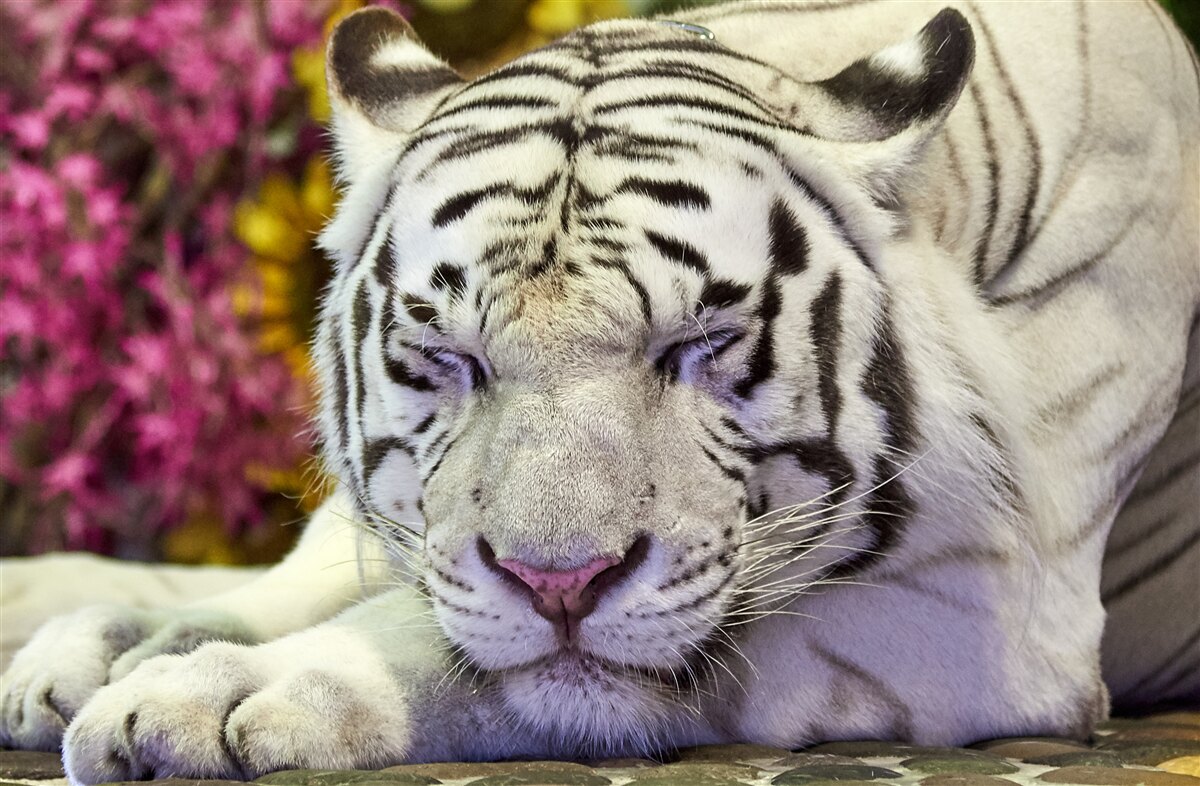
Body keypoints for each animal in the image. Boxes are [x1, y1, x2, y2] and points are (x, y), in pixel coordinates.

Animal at [2, 1, 1197, 782]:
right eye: (450, 356)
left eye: (701, 341)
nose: (560, 583)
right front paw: (113, 650)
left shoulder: (995, 615)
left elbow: (476, 651)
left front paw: (214, 693)